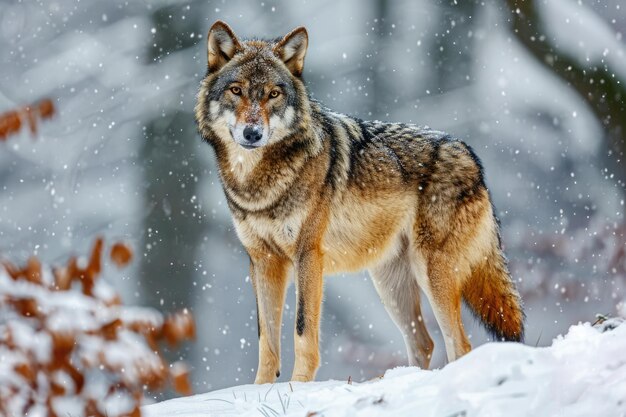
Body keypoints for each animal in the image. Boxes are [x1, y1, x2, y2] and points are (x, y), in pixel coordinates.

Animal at [194, 20, 520, 384]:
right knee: (425, 342)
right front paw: (260, 389)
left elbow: (302, 330)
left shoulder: (308, 255)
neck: (258, 185)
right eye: (236, 90)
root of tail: (471, 156)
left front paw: (298, 387)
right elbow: (267, 340)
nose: (252, 134)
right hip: (390, 284)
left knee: (459, 344)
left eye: (273, 94)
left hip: (432, 274)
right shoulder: (262, 261)